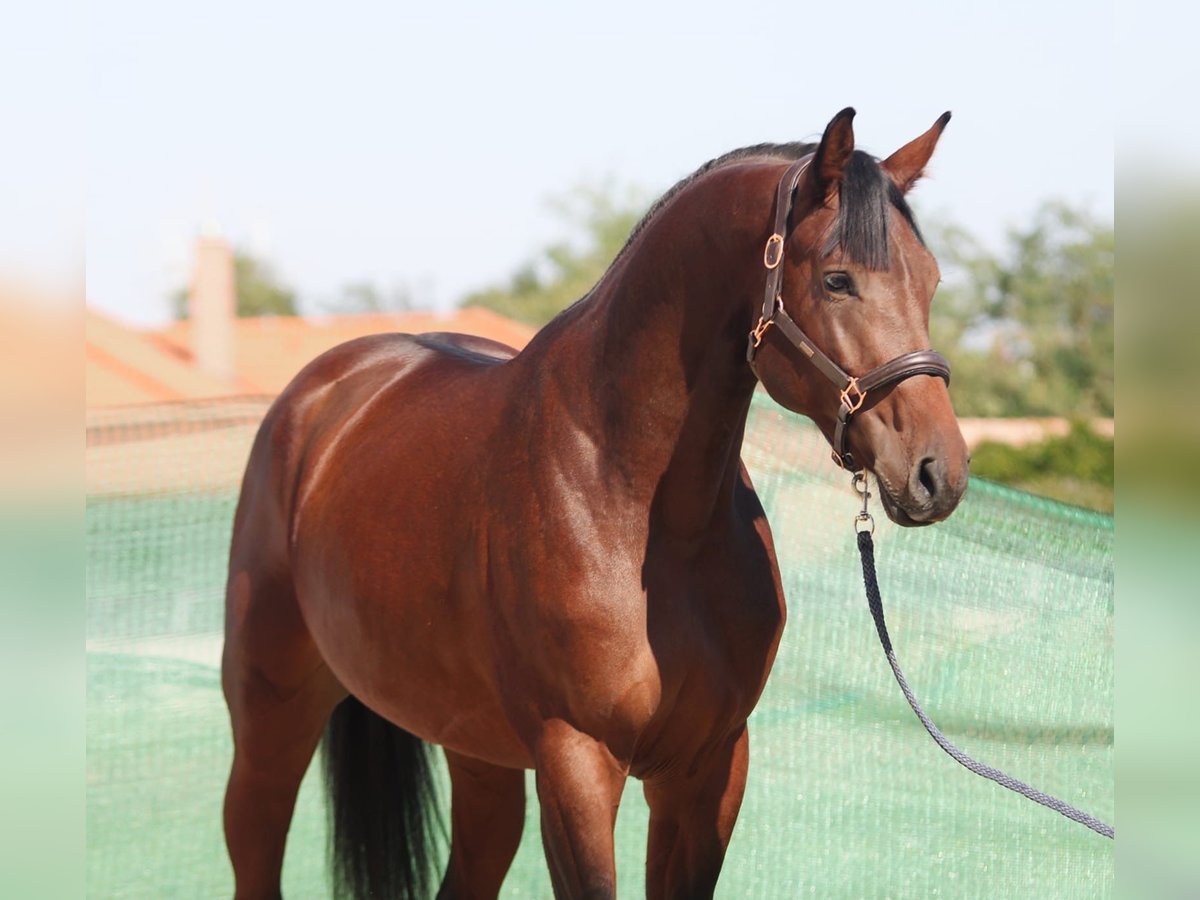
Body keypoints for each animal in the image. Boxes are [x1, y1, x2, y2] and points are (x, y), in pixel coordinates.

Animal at [220, 107, 969, 900]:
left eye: (931, 281)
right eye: (836, 279)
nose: (938, 472)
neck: (641, 512)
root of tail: (327, 394)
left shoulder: (708, 767)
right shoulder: (577, 761)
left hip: (478, 754)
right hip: (269, 725)